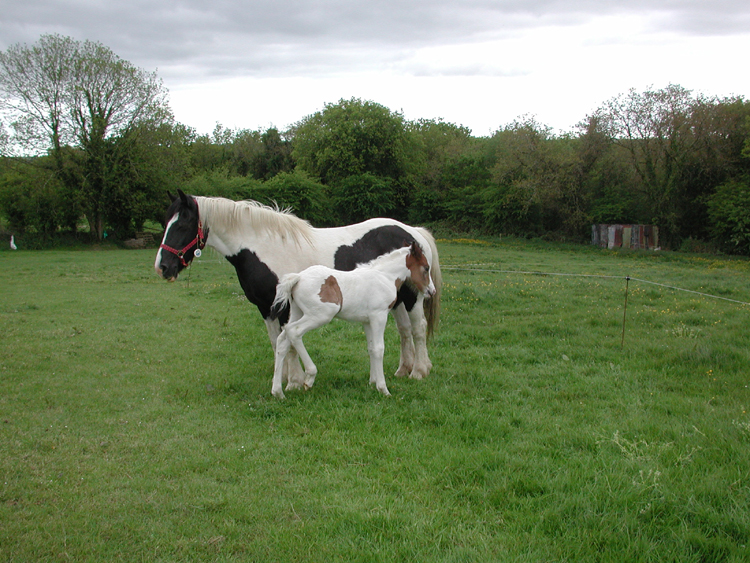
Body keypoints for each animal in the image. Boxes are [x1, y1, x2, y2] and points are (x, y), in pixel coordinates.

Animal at [268, 242, 434, 400]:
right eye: (426, 268)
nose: (432, 291)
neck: (384, 277)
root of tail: (298, 278)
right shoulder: (379, 316)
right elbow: (379, 349)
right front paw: (383, 389)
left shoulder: (367, 321)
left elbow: (371, 348)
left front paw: (372, 382)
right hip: (320, 315)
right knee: (294, 332)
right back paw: (309, 377)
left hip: (297, 312)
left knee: (283, 339)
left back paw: (278, 392)